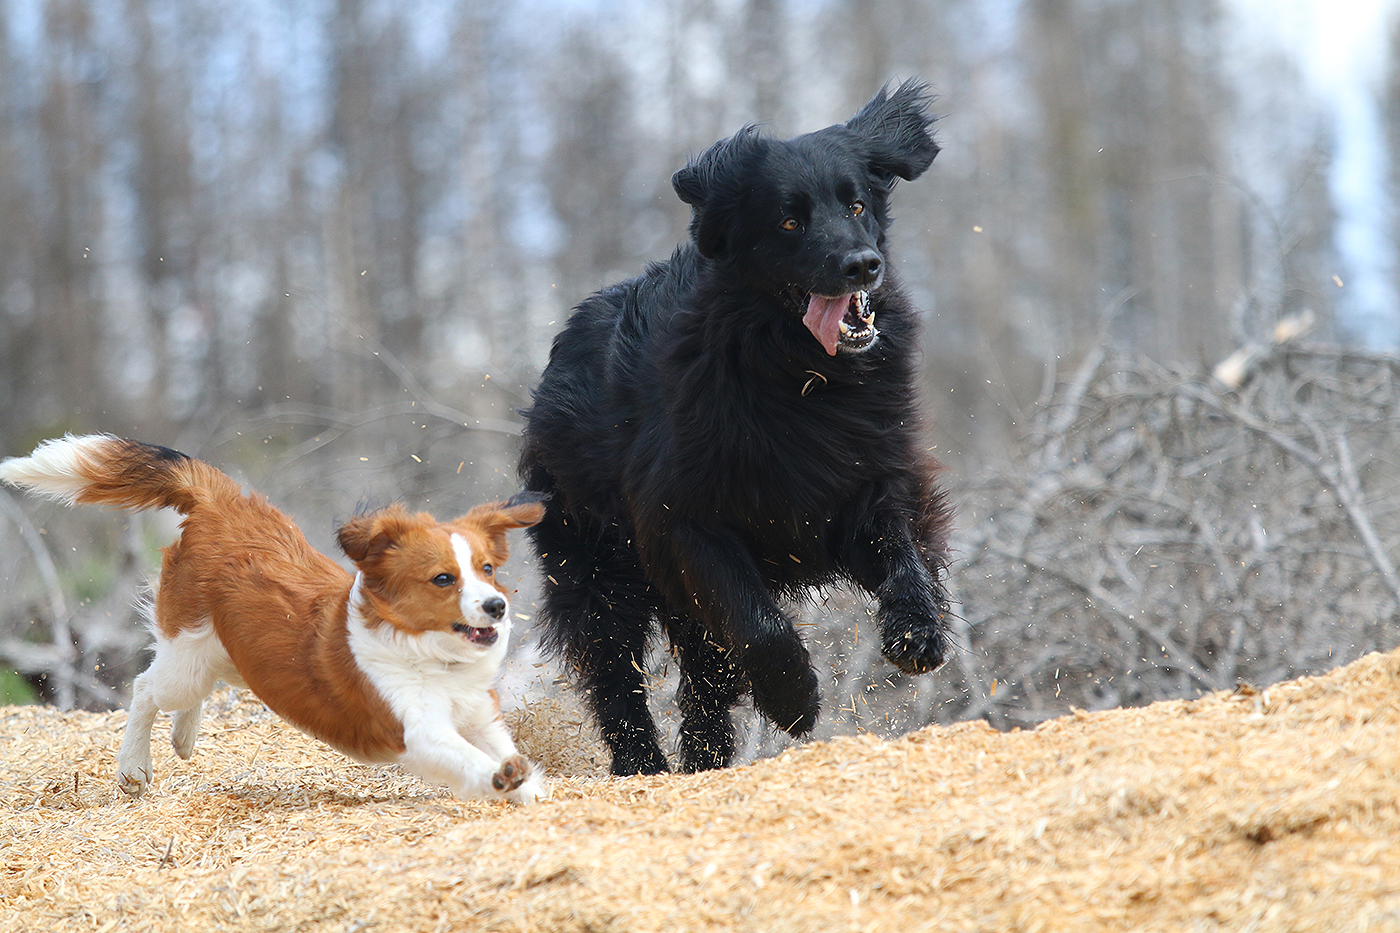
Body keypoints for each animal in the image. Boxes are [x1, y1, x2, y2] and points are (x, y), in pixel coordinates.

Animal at [0, 434, 547, 804]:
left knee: (188, 687)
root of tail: (222, 501)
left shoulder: (480, 715)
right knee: (146, 687)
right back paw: (135, 766)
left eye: (487, 569)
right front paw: (501, 779)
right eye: (442, 579)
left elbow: (500, 748)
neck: (432, 657)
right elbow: (471, 760)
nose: (497, 607)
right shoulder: (414, 729)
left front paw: (529, 789)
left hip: (234, 653)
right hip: (189, 655)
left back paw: (183, 737)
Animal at [518, 79, 953, 775]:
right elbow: (758, 625)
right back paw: (644, 766)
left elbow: (900, 546)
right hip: (595, 565)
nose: (862, 265)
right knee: (617, 672)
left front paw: (918, 630)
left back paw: (705, 757)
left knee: (704, 677)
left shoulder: (865, 474)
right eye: (788, 220)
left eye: (857, 203)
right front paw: (795, 701)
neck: (799, 377)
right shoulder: (686, 522)